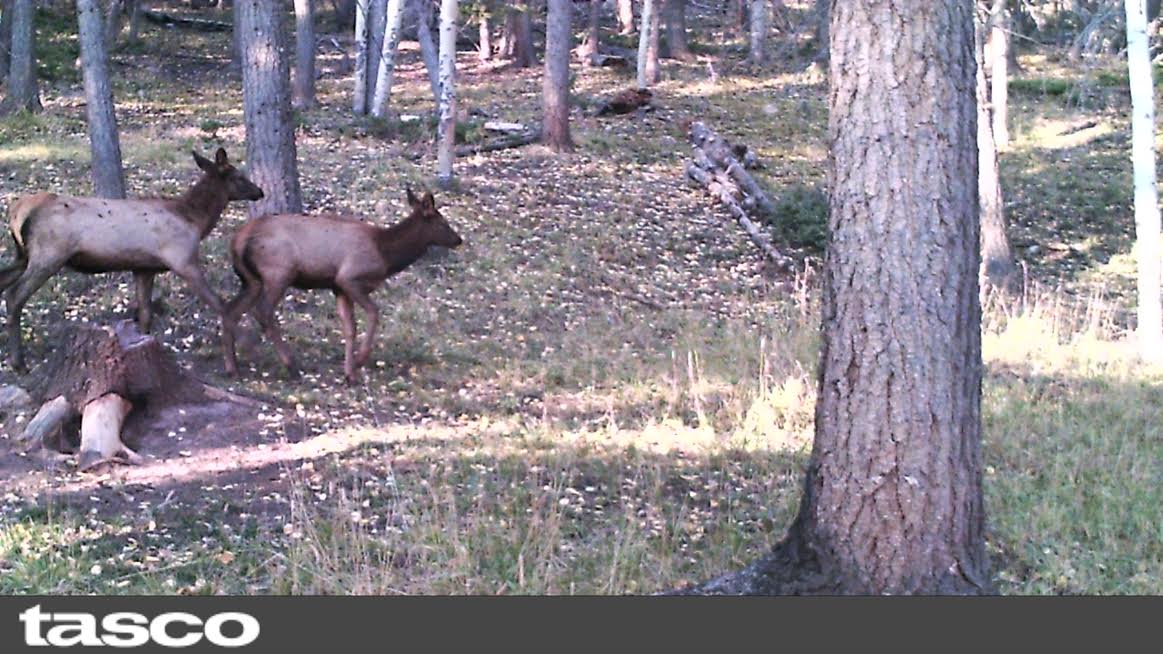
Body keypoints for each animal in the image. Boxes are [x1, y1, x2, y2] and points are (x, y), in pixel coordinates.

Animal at [0, 147, 264, 371]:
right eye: (239, 176)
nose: (260, 191)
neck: (195, 221)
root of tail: (15, 212)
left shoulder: (144, 268)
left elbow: (145, 314)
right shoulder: (183, 260)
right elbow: (220, 304)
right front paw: (247, 348)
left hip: (23, 256)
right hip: (48, 255)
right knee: (14, 296)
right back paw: (18, 362)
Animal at [222, 189, 464, 384]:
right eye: (443, 222)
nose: (458, 239)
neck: (386, 255)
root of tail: (237, 241)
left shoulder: (338, 288)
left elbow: (350, 328)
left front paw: (350, 374)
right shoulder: (349, 278)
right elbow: (374, 313)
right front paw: (359, 361)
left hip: (251, 281)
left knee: (230, 311)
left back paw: (233, 369)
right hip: (278, 272)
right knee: (262, 311)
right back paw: (291, 365)